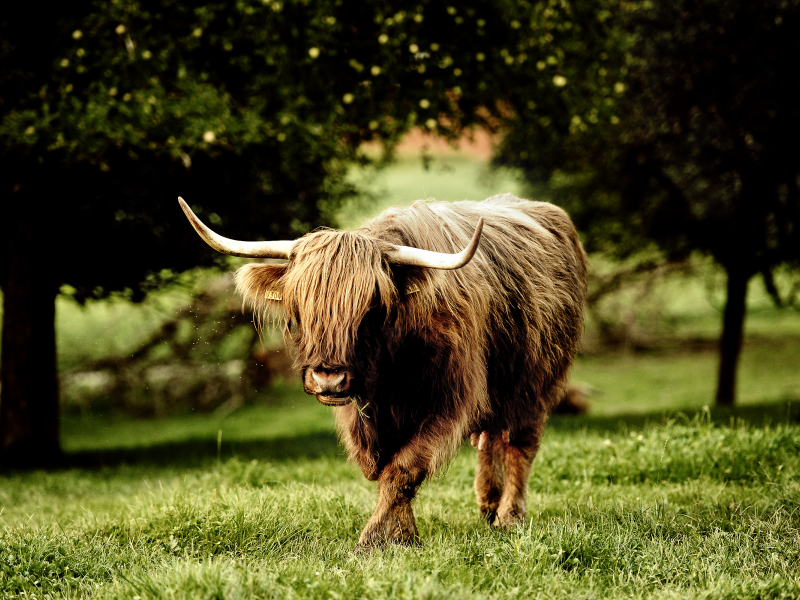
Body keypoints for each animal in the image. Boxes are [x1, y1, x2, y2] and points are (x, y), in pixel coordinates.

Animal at [178, 195, 588, 552]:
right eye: (300, 309)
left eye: (371, 309)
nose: (328, 379)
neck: (392, 370)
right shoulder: (361, 414)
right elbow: (380, 470)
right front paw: (404, 536)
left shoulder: (450, 401)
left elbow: (404, 469)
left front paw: (374, 540)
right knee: (490, 438)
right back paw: (488, 504)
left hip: (535, 383)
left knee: (519, 444)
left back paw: (509, 517)